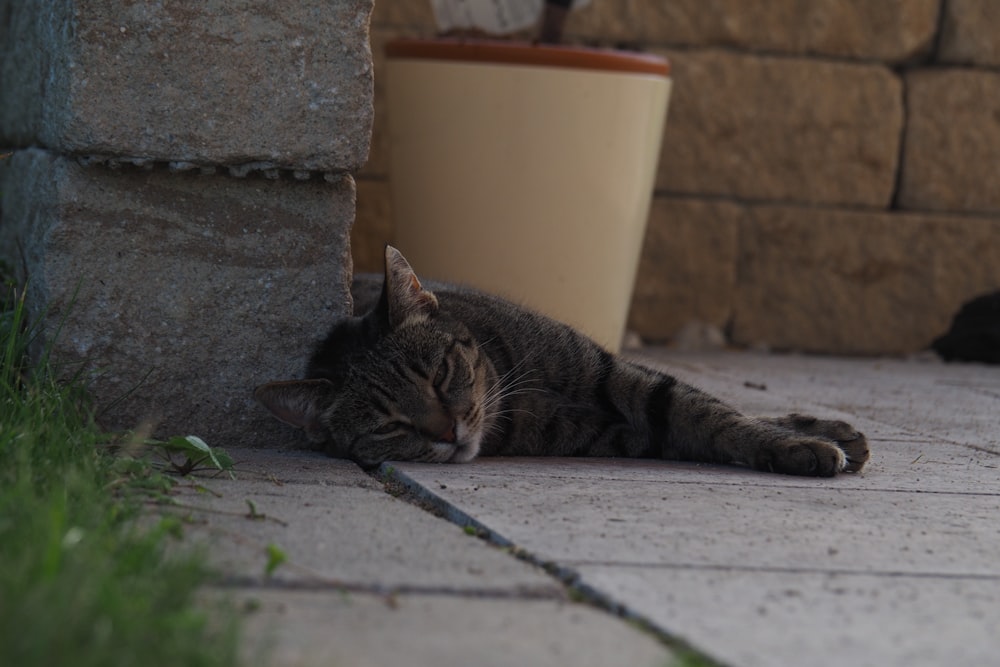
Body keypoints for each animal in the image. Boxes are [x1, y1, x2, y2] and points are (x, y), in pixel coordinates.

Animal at [256, 245, 868, 474]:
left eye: (439, 375)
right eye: (389, 426)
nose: (449, 433)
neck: (514, 401)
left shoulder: (617, 374)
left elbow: (710, 412)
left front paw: (798, 441)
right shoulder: (630, 433)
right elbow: (704, 423)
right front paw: (800, 447)